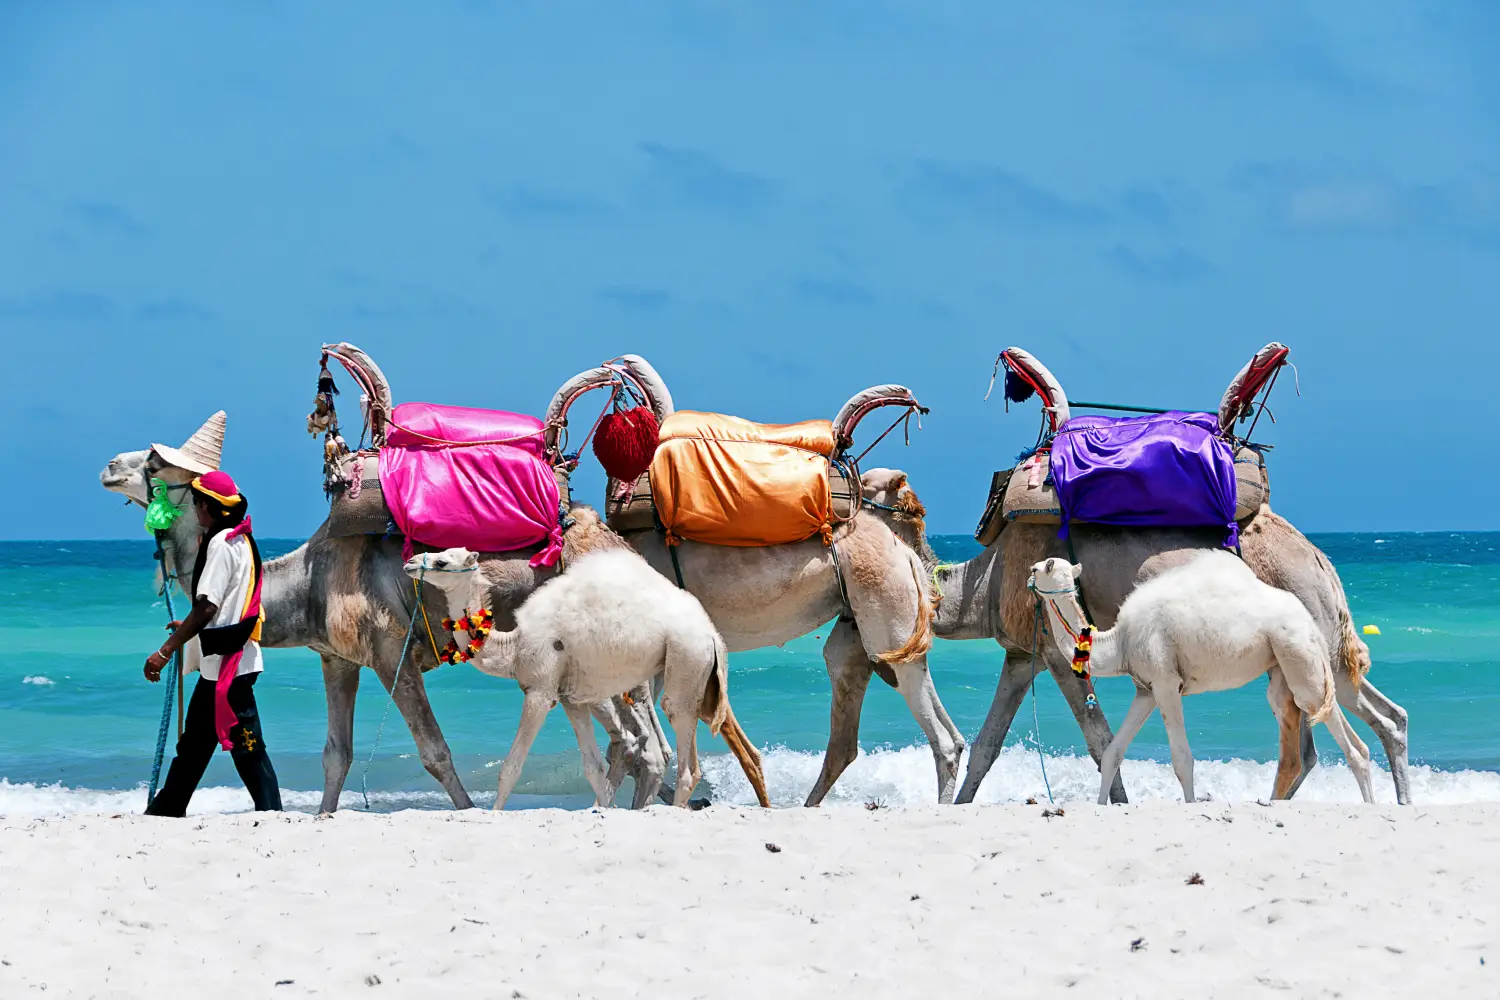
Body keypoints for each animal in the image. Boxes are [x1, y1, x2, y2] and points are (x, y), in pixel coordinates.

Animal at [405, 542, 768, 809]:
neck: (513, 645)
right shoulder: (572, 699)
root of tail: (713, 636)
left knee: (685, 755)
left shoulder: (540, 692)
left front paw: (493, 815)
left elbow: (511, 767)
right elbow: (593, 768)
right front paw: (604, 810)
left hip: (685, 657)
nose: (409, 562)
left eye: (442, 562)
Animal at [1032, 554, 1374, 803]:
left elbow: (1182, 759)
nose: (1028, 572)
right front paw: (1101, 807)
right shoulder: (1146, 690)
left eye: (1043, 567)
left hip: (1298, 651)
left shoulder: (1167, 683)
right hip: (1285, 665)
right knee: (1297, 733)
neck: (1120, 642)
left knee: (1343, 735)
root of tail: (1308, 619)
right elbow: (1112, 754)